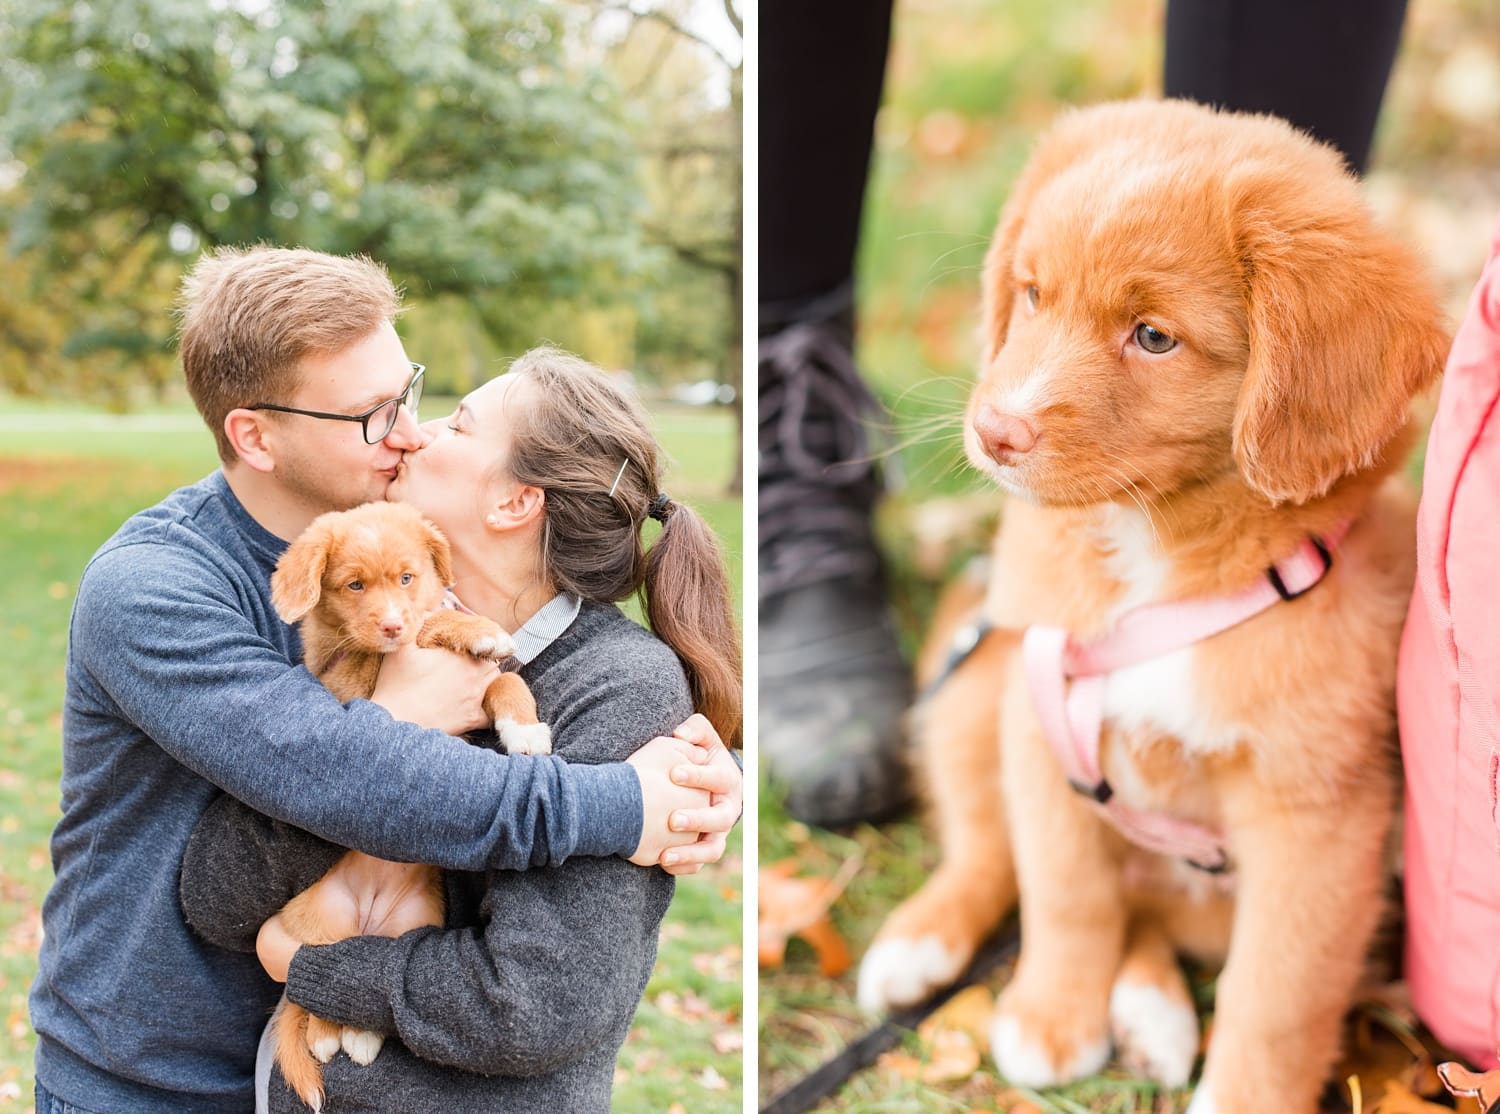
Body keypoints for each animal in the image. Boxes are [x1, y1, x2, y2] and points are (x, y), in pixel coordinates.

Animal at [267, 500, 549, 1109]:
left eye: (406, 578)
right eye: (353, 585)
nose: (391, 624)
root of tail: (367, 915)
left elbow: (501, 685)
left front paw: (524, 728)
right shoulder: (352, 675)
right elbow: (427, 627)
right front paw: (479, 631)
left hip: (407, 926)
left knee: (359, 983)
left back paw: (361, 1036)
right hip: (323, 921)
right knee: (313, 985)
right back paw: (331, 1039)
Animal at [858, 98, 1452, 1114]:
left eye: (1153, 337)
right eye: (1031, 295)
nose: (994, 431)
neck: (1156, 566)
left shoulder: (1317, 825)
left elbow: (1276, 992)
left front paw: (1242, 1095)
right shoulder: (1039, 730)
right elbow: (1064, 892)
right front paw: (1052, 1017)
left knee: (1163, 926)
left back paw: (1152, 1013)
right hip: (976, 698)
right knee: (988, 851)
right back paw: (922, 943)